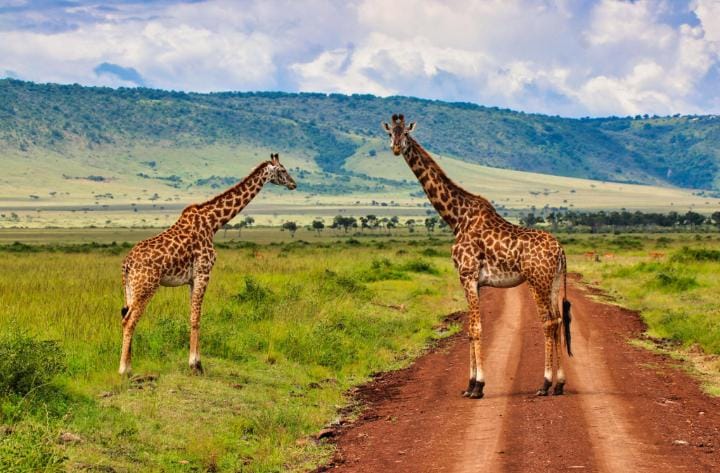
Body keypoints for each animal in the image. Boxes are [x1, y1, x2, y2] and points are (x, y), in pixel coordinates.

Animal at [118, 154, 296, 376]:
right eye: (282, 170)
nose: (294, 184)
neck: (213, 222)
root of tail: (127, 264)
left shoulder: (192, 279)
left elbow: (192, 315)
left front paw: (195, 362)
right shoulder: (204, 272)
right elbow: (197, 317)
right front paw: (196, 365)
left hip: (131, 288)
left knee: (125, 317)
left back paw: (129, 365)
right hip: (146, 287)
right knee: (129, 321)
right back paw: (124, 370)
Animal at [383, 114, 572, 399]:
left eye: (405, 132)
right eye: (389, 133)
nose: (396, 147)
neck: (456, 217)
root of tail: (560, 250)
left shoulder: (467, 275)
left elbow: (475, 328)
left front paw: (478, 386)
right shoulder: (476, 281)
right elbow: (471, 330)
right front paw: (470, 385)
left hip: (537, 281)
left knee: (548, 322)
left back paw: (545, 383)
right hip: (554, 281)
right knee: (559, 321)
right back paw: (560, 384)